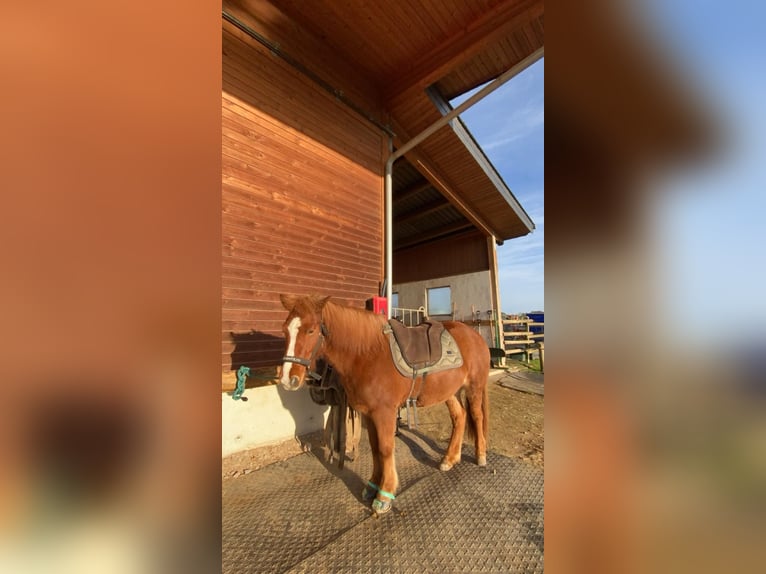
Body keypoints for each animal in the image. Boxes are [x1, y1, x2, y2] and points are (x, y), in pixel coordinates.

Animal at [277, 294, 490, 515]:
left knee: (476, 416)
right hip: (449, 392)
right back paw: (450, 459)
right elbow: (375, 449)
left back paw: (480, 456)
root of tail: (475, 336)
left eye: (311, 330)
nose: (287, 379)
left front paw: (384, 496)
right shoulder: (369, 414)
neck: (367, 355)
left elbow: (386, 449)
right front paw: (372, 486)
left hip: (474, 387)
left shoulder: (384, 413)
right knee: (460, 417)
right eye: (285, 329)